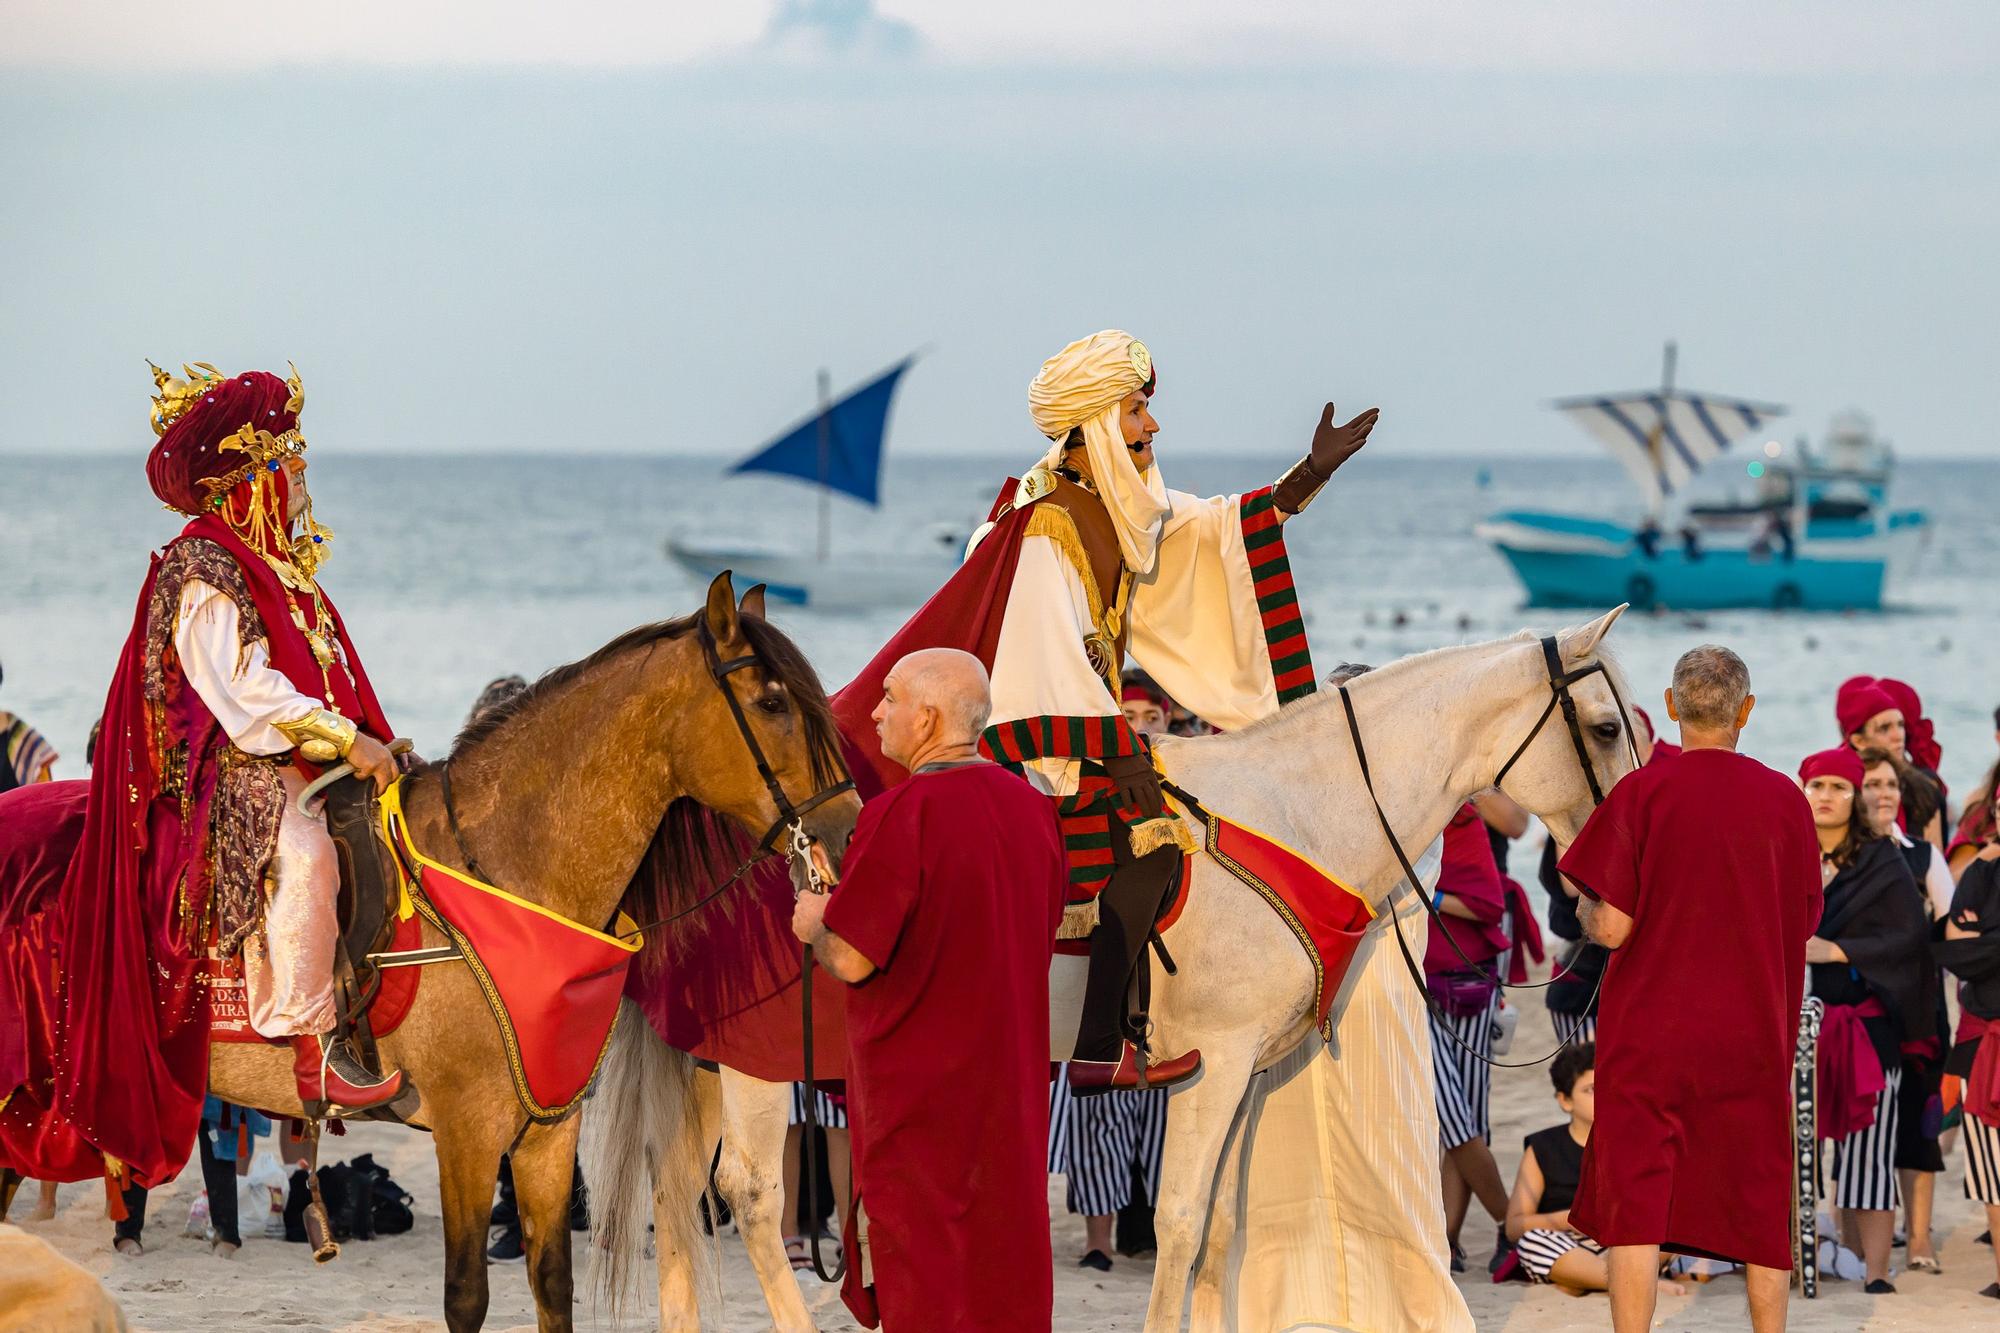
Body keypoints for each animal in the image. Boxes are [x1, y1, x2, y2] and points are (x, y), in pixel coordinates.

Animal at [60, 572, 852, 1328]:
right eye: (772, 702)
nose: (844, 828)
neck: (505, 871)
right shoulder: (466, 1134)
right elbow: (466, 1296)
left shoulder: (547, 1133)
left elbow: (552, 1286)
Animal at [584, 608, 1640, 1320]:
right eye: (1602, 725)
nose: (1605, 883)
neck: (1295, 812)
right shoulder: (1212, 1067)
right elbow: (1177, 1224)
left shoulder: (1246, 1073)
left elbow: (1217, 1233)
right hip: (762, 1065)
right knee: (755, 1202)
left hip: (710, 1060)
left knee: (678, 1201)